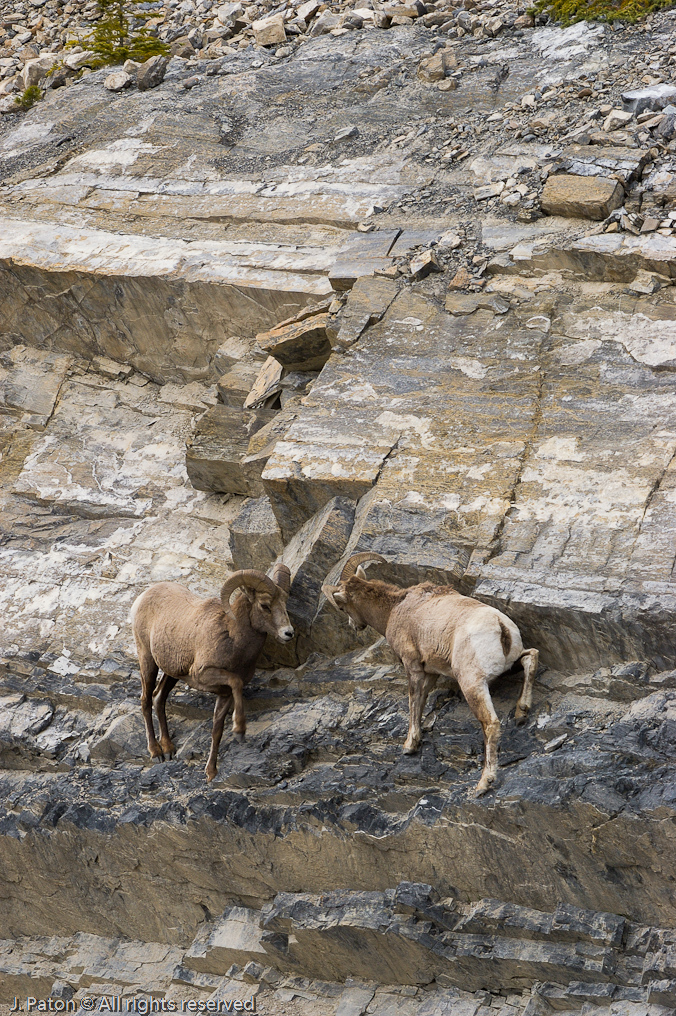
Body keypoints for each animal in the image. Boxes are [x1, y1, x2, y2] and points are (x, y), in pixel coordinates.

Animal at [130, 568, 290, 780]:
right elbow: (236, 681)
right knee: (146, 700)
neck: (232, 637)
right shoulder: (203, 675)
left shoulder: (225, 693)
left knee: (159, 698)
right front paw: (240, 730)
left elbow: (217, 729)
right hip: (147, 659)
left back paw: (168, 749)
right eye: (265, 605)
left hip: (172, 673)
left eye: (284, 602)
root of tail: (142, 597)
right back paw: (156, 753)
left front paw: (211, 772)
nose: (289, 633)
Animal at [321, 556, 536, 792]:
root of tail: (501, 626)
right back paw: (522, 712)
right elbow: (422, 699)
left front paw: (410, 746)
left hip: (472, 684)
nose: (355, 626)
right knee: (530, 656)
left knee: (491, 724)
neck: (395, 609)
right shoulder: (431, 670)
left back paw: (483, 783)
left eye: (342, 606)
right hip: (510, 663)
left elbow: (414, 701)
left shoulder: (412, 665)